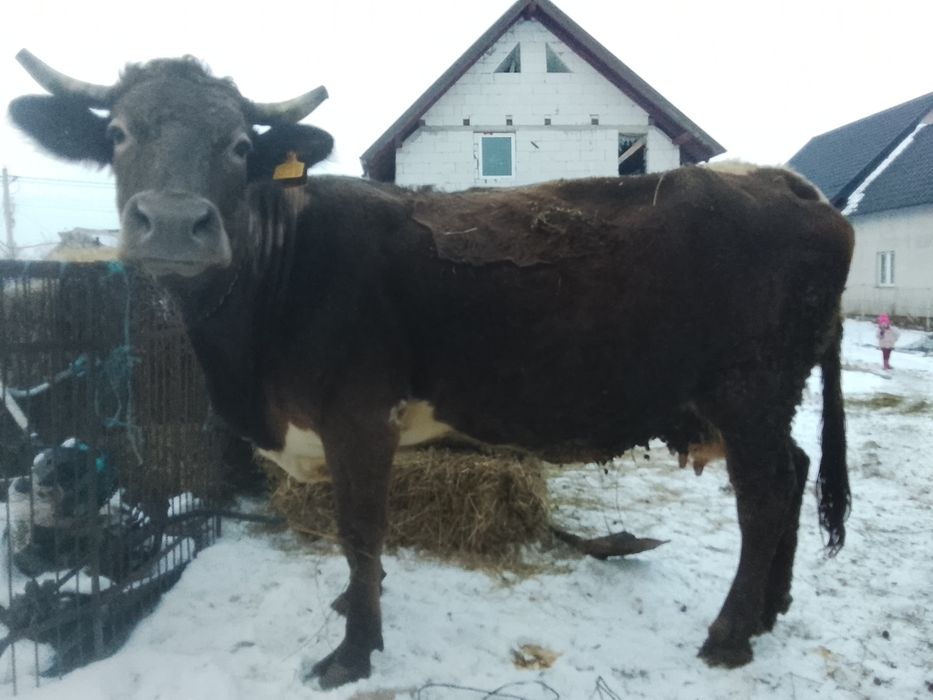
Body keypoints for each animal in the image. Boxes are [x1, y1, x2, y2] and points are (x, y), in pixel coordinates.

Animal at [10, 50, 853, 689]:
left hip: (748, 390)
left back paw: (729, 633)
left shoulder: (358, 415)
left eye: (241, 145)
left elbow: (360, 531)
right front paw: (353, 612)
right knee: (794, 470)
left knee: (765, 495)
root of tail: (781, 181)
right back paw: (769, 611)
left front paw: (353, 653)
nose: (176, 222)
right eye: (116, 132)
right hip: (761, 397)